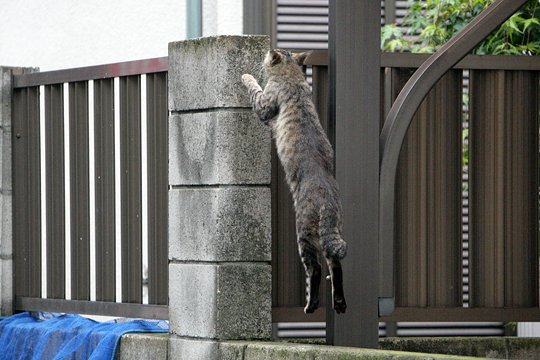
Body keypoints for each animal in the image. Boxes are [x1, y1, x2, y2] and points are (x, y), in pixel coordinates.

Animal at [243, 49, 348, 314]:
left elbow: (255, 89)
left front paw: (246, 75)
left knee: (316, 269)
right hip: (330, 231)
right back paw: (339, 304)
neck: (293, 77)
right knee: (336, 266)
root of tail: (327, 199)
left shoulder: (265, 102)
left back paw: (311, 306)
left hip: (304, 233)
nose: (265, 54)